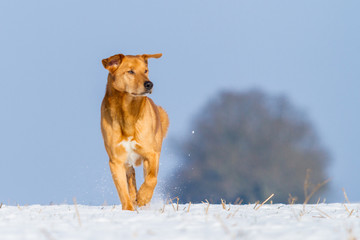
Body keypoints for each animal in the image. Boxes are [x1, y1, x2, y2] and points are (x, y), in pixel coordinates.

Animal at [100, 52, 169, 210]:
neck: (128, 113)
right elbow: (123, 191)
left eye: (145, 70)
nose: (149, 84)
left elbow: (152, 178)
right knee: (131, 181)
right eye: (130, 71)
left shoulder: (151, 153)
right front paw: (129, 209)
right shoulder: (116, 160)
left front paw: (143, 197)